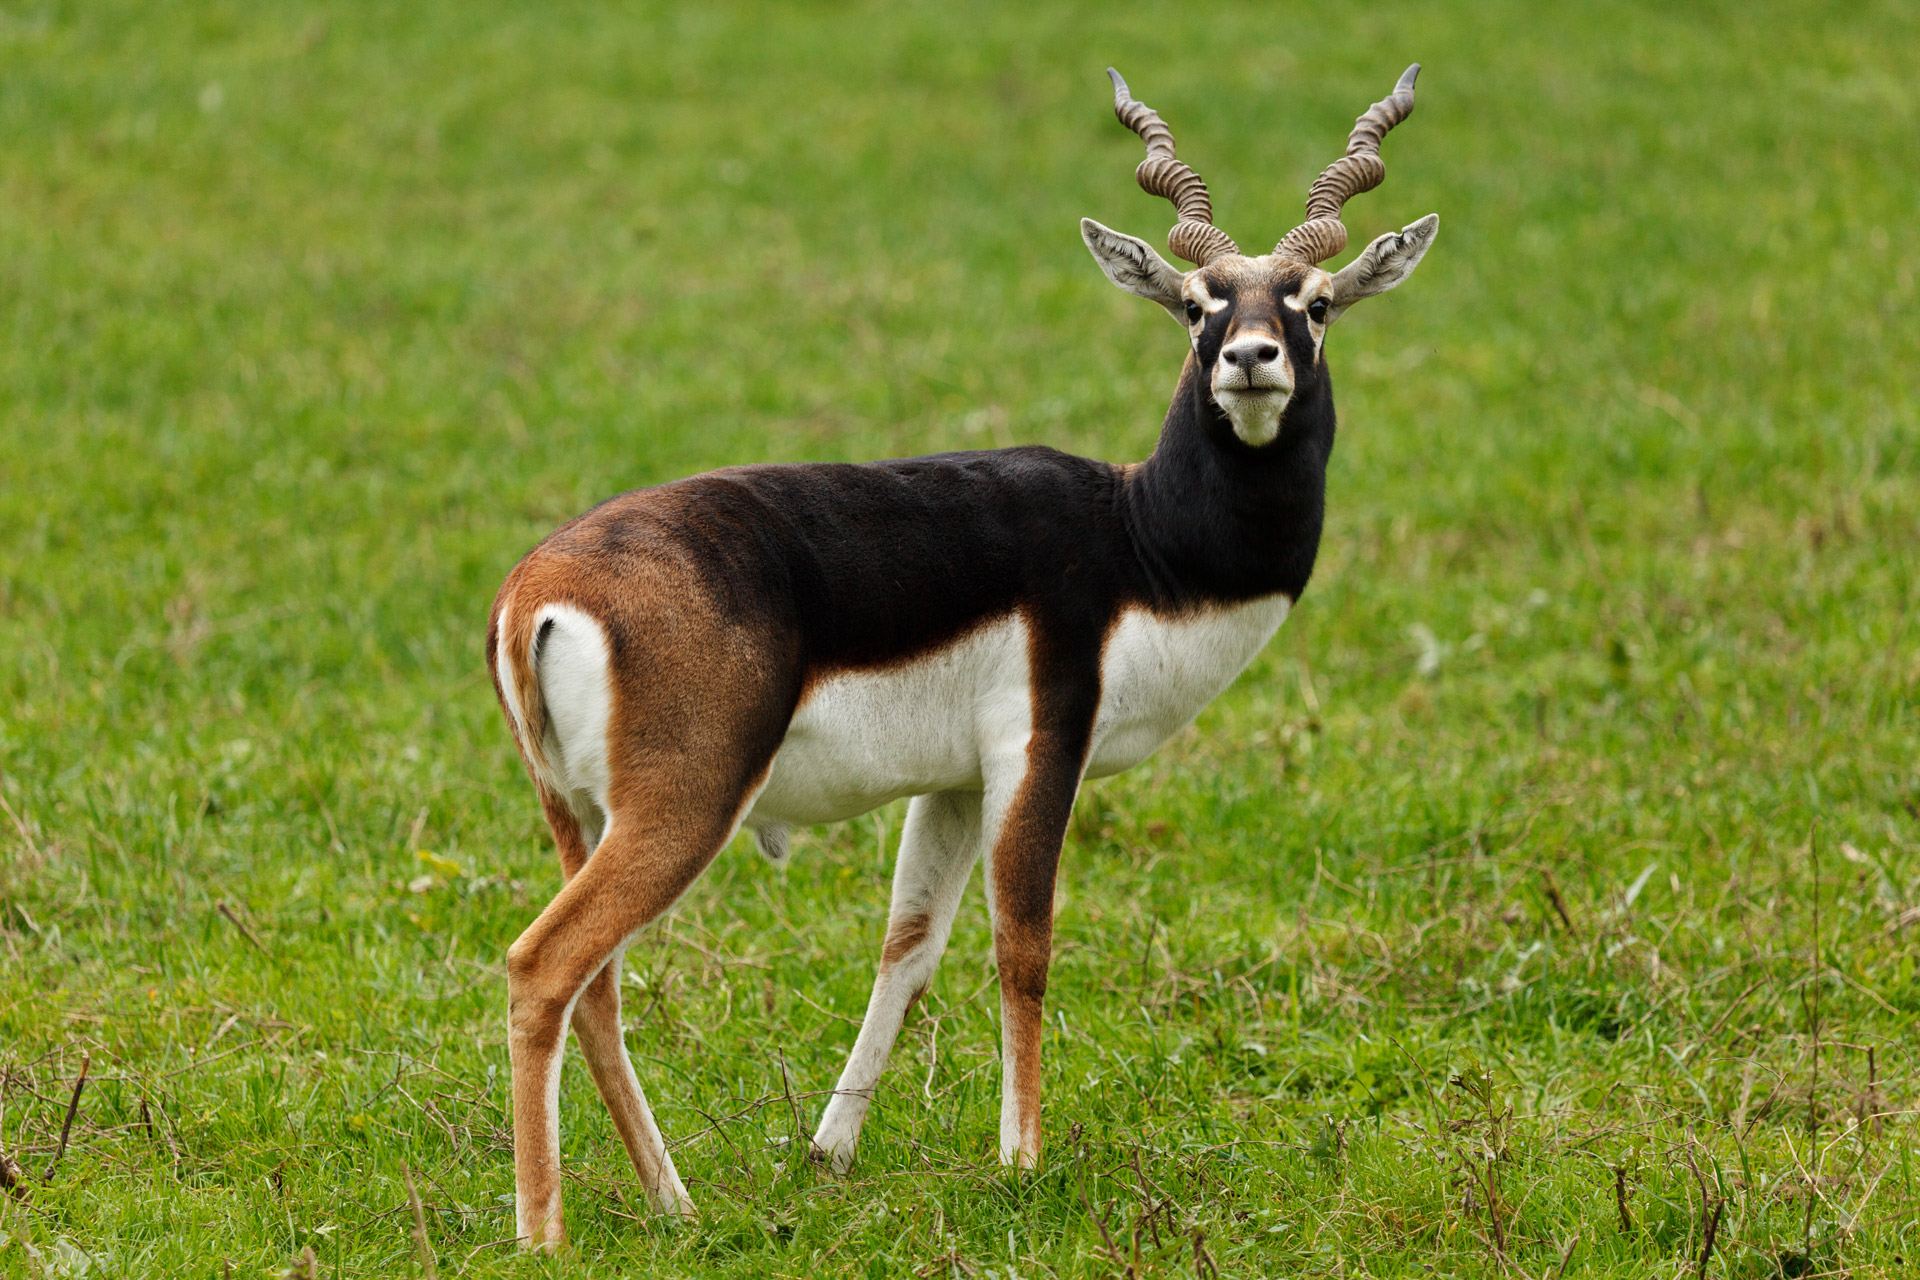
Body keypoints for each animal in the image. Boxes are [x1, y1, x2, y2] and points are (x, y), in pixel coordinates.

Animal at [487, 62, 1436, 1251]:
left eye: (1313, 302)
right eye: (1195, 302)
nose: (1250, 359)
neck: (1141, 540)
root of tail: (538, 592)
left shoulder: (948, 783)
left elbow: (909, 946)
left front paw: (829, 1152)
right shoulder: (1043, 745)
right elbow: (1021, 943)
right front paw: (1021, 1159)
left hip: (576, 812)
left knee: (597, 984)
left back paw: (675, 1200)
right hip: (684, 804)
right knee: (543, 966)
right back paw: (544, 1232)